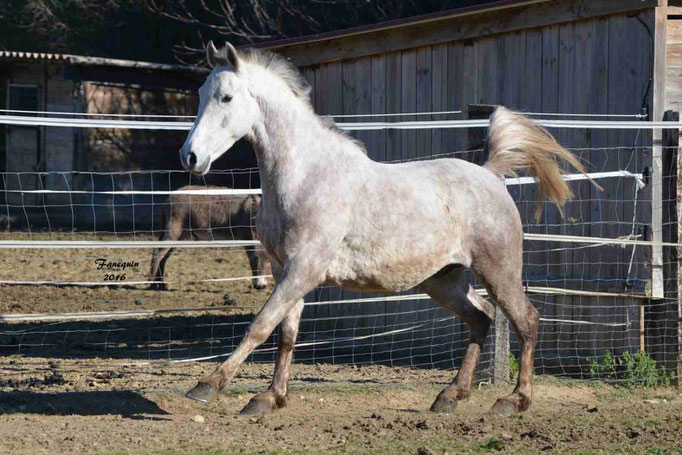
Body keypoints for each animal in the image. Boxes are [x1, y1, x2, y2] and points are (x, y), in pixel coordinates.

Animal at [175, 41, 588, 418]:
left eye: (227, 97)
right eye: (201, 95)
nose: (190, 157)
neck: (306, 175)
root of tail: (490, 174)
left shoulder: (304, 269)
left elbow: (260, 326)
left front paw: (208, 385)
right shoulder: (284, 268)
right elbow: (286, 333)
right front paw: (269, 398)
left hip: (498, 271)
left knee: (527, 320)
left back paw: (514, 401)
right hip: (444, 279)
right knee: (482, 316)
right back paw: (449, 397)